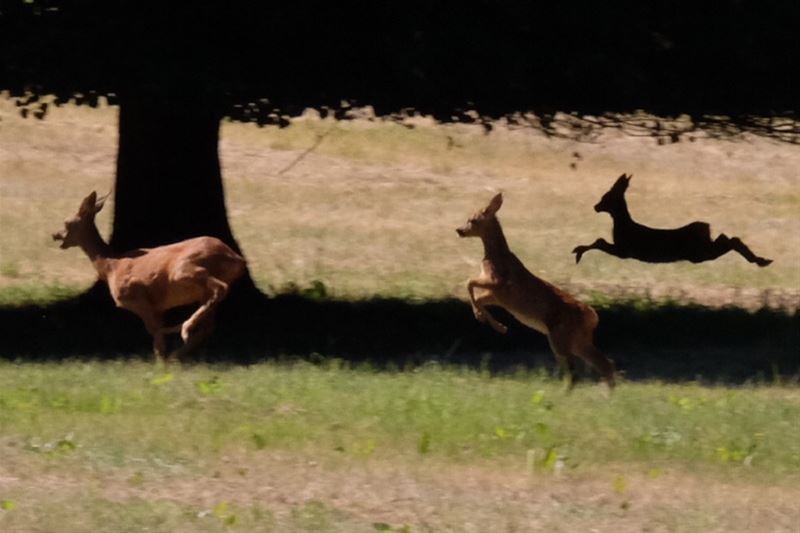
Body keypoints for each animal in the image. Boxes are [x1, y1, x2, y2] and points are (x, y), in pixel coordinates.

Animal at [53, 191, 247, 362]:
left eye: (67, 222)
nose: (54, 235)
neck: (111, 267)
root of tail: (236, 258)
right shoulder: (158, 307)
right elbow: (157, 334)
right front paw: (164, 361)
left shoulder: (139, 298)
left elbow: (155, 334)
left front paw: (160, 364)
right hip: (202, 289)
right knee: (209, 323)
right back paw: (177, 353)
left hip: (184, 270)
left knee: (220, 289)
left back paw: (184, 329)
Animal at [456, 191, 620, 386]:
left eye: (472, 220)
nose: (459, 230)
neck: (493, 256)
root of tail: (592, 316)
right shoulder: (497, 296)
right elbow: (478, 298)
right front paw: (498, 326)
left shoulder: (499, 282)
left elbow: (469, 282)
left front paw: (486, 320)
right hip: (577, 339)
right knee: (604, 363)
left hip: (562, 337)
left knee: (577, 370)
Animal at [572, 174, 772, 266]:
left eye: (605, 197)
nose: (595, 206)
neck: (623, 225)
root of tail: (705, 227)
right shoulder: (624, 250)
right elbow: (600, 241)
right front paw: (578, 251)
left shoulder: (625, 250)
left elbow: (600, 241)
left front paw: (578, 252)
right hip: (700, 251)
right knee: (728, 237)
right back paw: (762, 259)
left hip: (698, 253)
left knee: (729, 240)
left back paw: (759, 260)